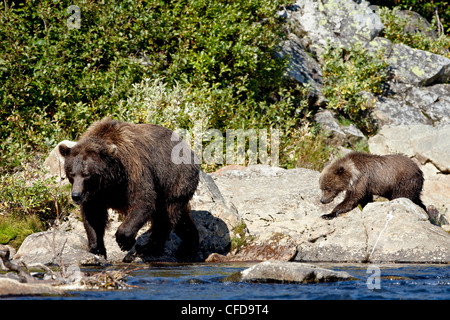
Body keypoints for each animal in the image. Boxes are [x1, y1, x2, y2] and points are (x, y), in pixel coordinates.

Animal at [59, 119, 200, 262]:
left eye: (86, 174)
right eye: (71, 173)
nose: (76, 195)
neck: (111, 180)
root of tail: (190, 150)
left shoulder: (134, 169)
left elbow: (143, 199)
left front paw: (124, 242)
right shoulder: (96, 194)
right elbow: (93, 216)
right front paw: (97, 249)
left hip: (174, 179)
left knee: (165, 215)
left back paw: (148, 248)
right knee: (180, 218)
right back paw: (188, 247)